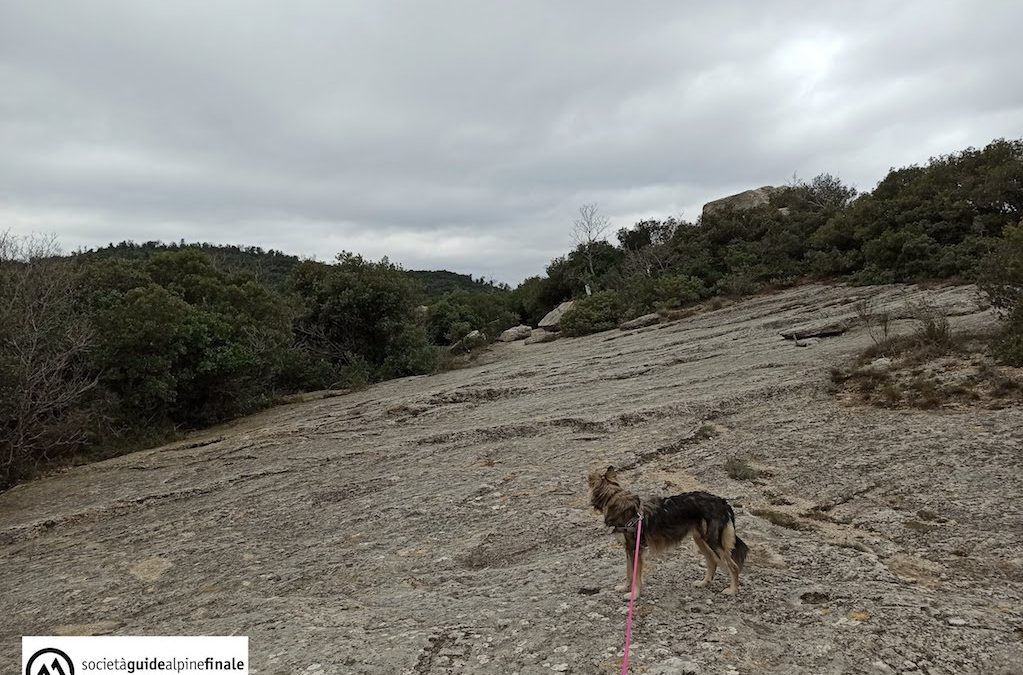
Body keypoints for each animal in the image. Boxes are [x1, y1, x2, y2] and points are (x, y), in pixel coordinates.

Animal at [589, 464, 748, 597]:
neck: (614, 499)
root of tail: (723, 502)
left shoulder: (636, 549)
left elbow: (636, 575)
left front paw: (634, 595)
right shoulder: (628, 549)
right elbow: (628, 572)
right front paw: (624, 587)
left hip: (712, 541)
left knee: (733, 566)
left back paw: (732, 590)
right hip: (700, 540)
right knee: (712, 561)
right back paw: (704, 583)